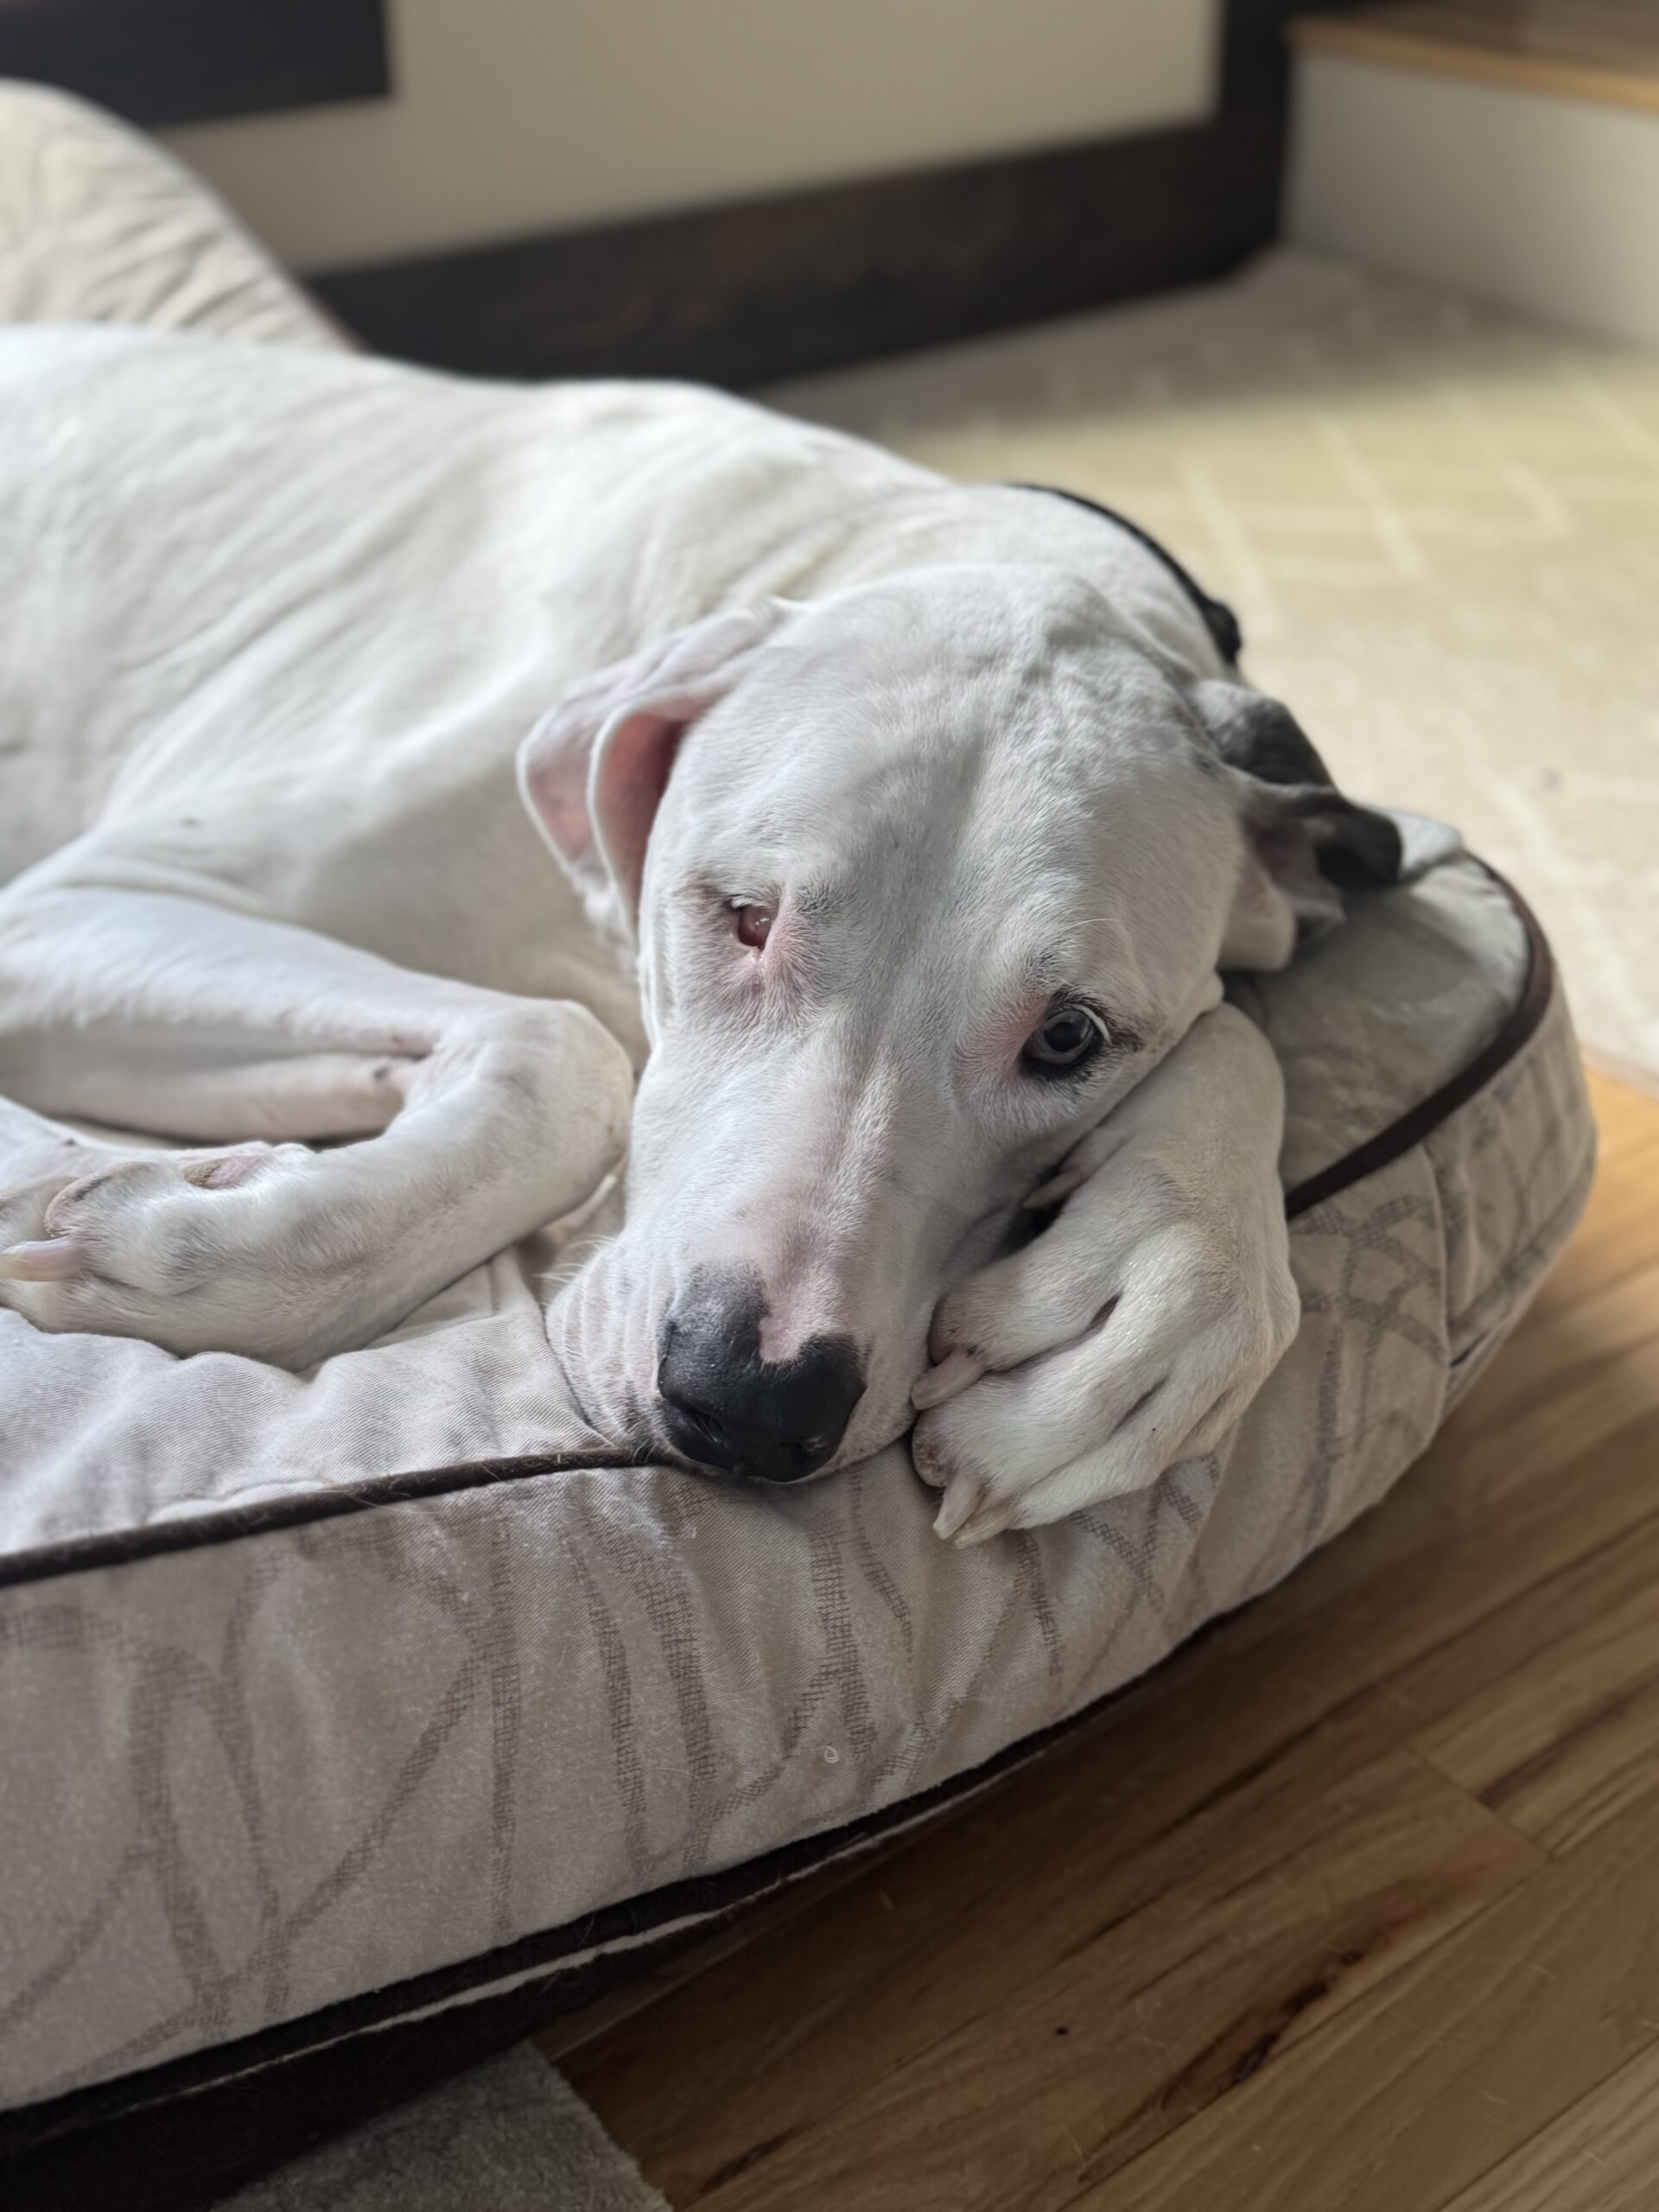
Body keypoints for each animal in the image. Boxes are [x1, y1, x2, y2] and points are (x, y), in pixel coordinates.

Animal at [0, 323, 1401, 1543]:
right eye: (743, 917)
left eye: (1068, 1039)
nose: (751, 1400)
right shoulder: (71, 911)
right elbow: (564, 1051)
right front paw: (206, 1251)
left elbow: (1237, 1033)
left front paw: (1164, 1276)